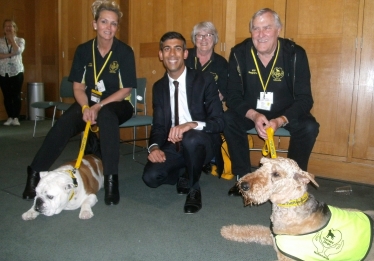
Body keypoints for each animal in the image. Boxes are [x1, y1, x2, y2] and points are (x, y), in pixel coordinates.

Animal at [221, 156, 372, 260]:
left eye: (276, 174)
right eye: (262, 165)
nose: (243, 185)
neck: (289, 206)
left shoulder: (286, 255)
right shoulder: (274, 236)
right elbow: (252, 230)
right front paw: (227, 230)